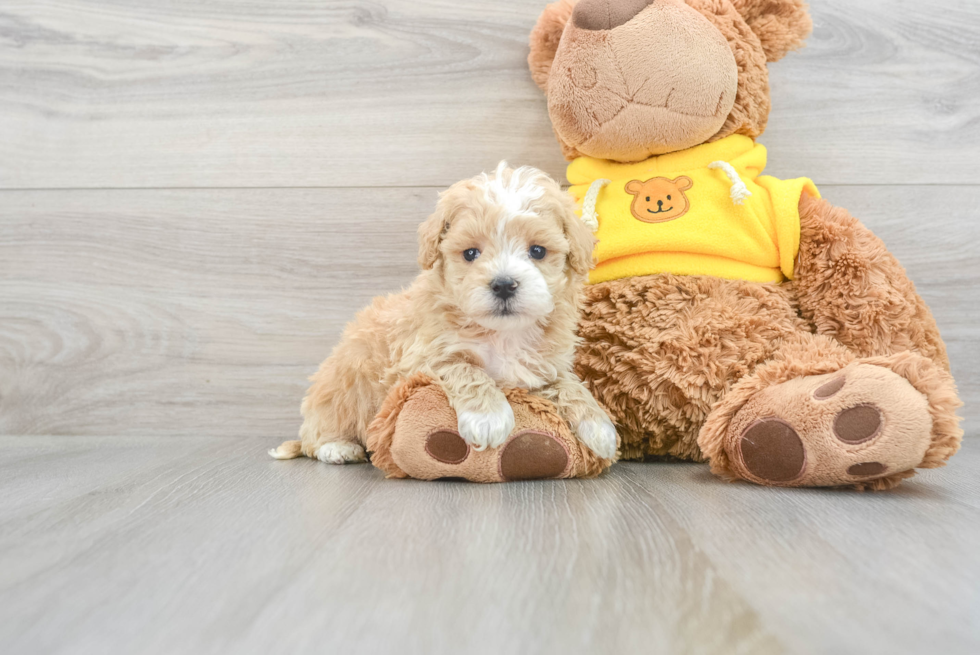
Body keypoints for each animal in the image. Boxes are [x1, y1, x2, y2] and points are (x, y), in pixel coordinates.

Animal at [272, 164, 616, 466]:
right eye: (471, 253)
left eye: (538, 251)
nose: (504, 284)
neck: (502, 334)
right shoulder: (422, 358)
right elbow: (466, 369)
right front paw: (488, 418)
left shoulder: (544, 366)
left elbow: (570, 384)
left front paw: (600, 427)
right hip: (342, 389)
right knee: (317, 435)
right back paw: (338, 447)